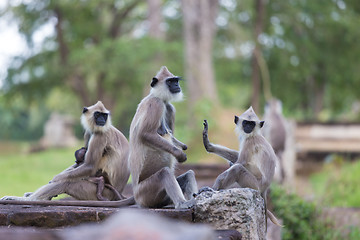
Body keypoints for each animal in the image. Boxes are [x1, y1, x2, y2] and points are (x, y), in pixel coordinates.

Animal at [0, 101, 135, 208]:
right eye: (98, 114)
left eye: (104, 115)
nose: (101, 120)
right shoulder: (88, 133)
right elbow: (80, 163)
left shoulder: (99, 136)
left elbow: (89, 166)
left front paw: (55, 179)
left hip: (97, 192)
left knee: (67, 183)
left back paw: (28, 199)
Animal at [128, 66, 198, 209]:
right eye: (170, 81)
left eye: (176, 80)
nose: (177, 85)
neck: (157, 96)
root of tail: (136, 197)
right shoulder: (156, 104)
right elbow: (145, 134)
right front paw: (179, 154)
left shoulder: (170, 108)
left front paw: (182, 146)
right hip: (145, 194)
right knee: (164, 173)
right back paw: (182, 203)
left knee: (189, 174)